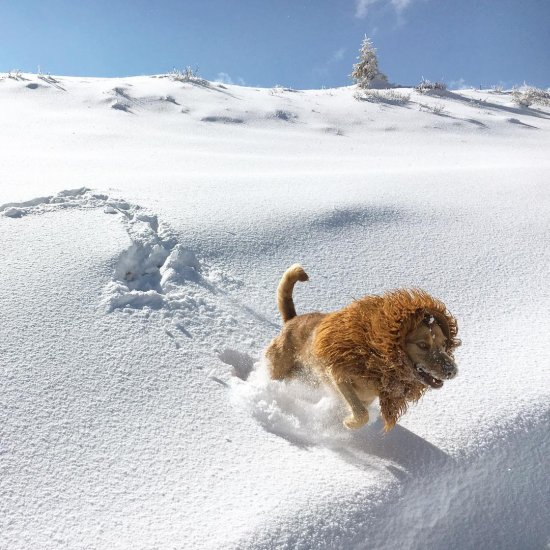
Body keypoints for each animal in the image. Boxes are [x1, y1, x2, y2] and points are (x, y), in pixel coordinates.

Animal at [268, 266, 462, 432]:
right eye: (422, 345)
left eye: (444, 344)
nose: (452, 371)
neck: (376, 359)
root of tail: (292, 320)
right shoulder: (338, 374)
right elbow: (362, 414)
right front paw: (349, 422)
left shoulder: (365, 397)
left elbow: (360, 409)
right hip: (281, 368)